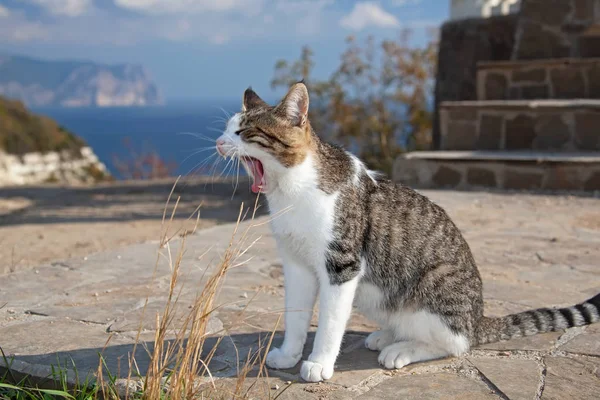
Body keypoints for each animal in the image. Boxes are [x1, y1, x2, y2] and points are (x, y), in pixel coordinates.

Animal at [217, 83, 600, 382]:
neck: (291, 189)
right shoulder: (296, 264)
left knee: (456, 344)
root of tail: (478, 319)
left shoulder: (342, 266)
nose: (219, 144)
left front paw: (320, 363)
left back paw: (402, 349)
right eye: (227, 128)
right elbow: (296, 317)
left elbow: (329, 321)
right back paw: (387, 336)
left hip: (434, 282)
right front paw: (289, 355)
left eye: (243, 131)